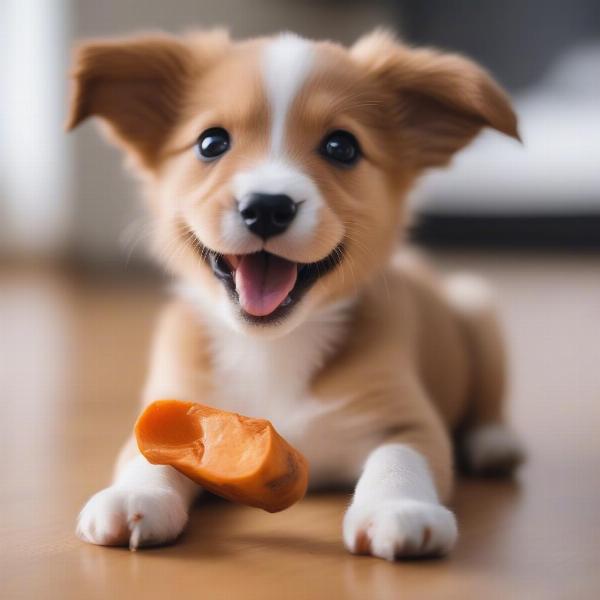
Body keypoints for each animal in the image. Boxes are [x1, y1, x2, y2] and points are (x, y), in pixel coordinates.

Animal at [68, 28, 524, 560]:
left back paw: (494, 443)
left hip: (478, 304)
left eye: (342, 147)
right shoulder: (174, 399)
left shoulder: (406, 421)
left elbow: (399, 458)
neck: (271, 349)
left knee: (490, 401)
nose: (267, 208)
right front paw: (135, 495)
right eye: (211, 142)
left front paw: (399, 509)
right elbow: (151, 451)